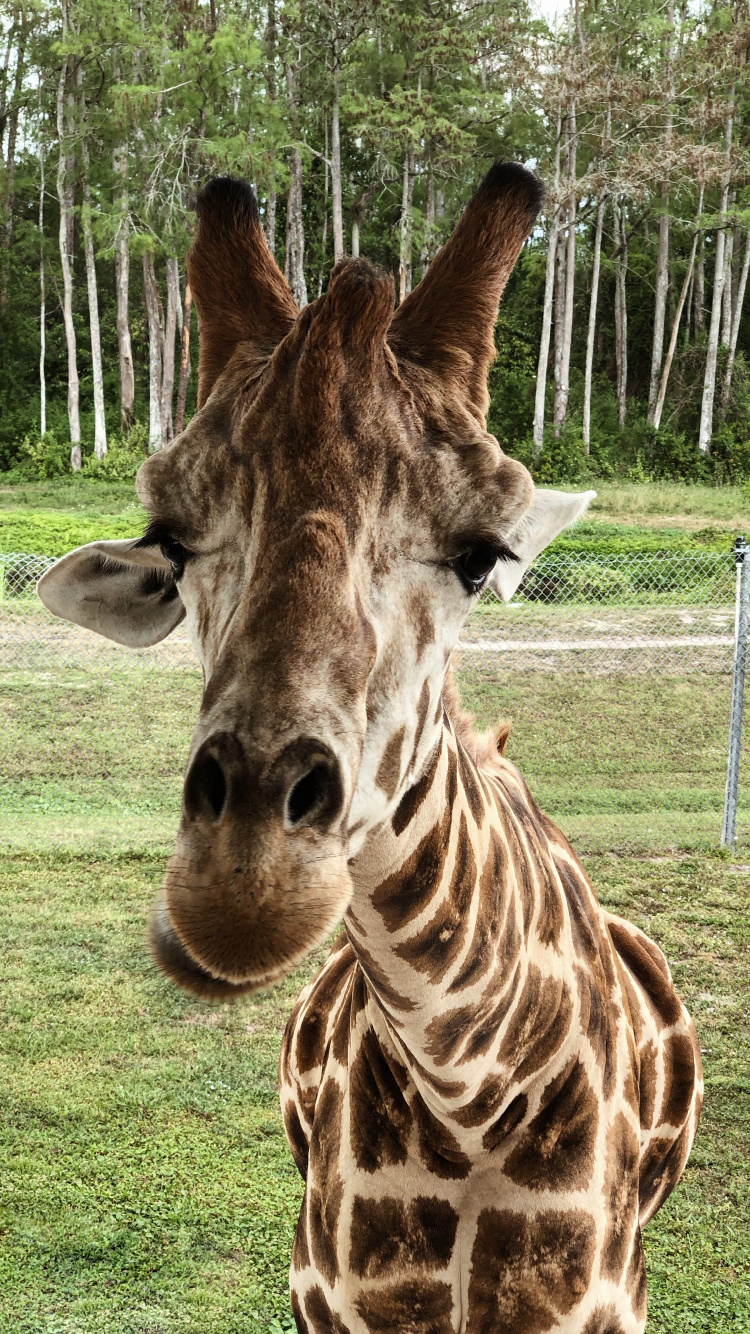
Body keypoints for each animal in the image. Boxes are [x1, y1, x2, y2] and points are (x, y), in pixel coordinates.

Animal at [38, 162, 702, 1334]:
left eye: (483, 556)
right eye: (172, 543)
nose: (243, 886)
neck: (469, 1091)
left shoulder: (600, 1301)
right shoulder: (326, 1295)